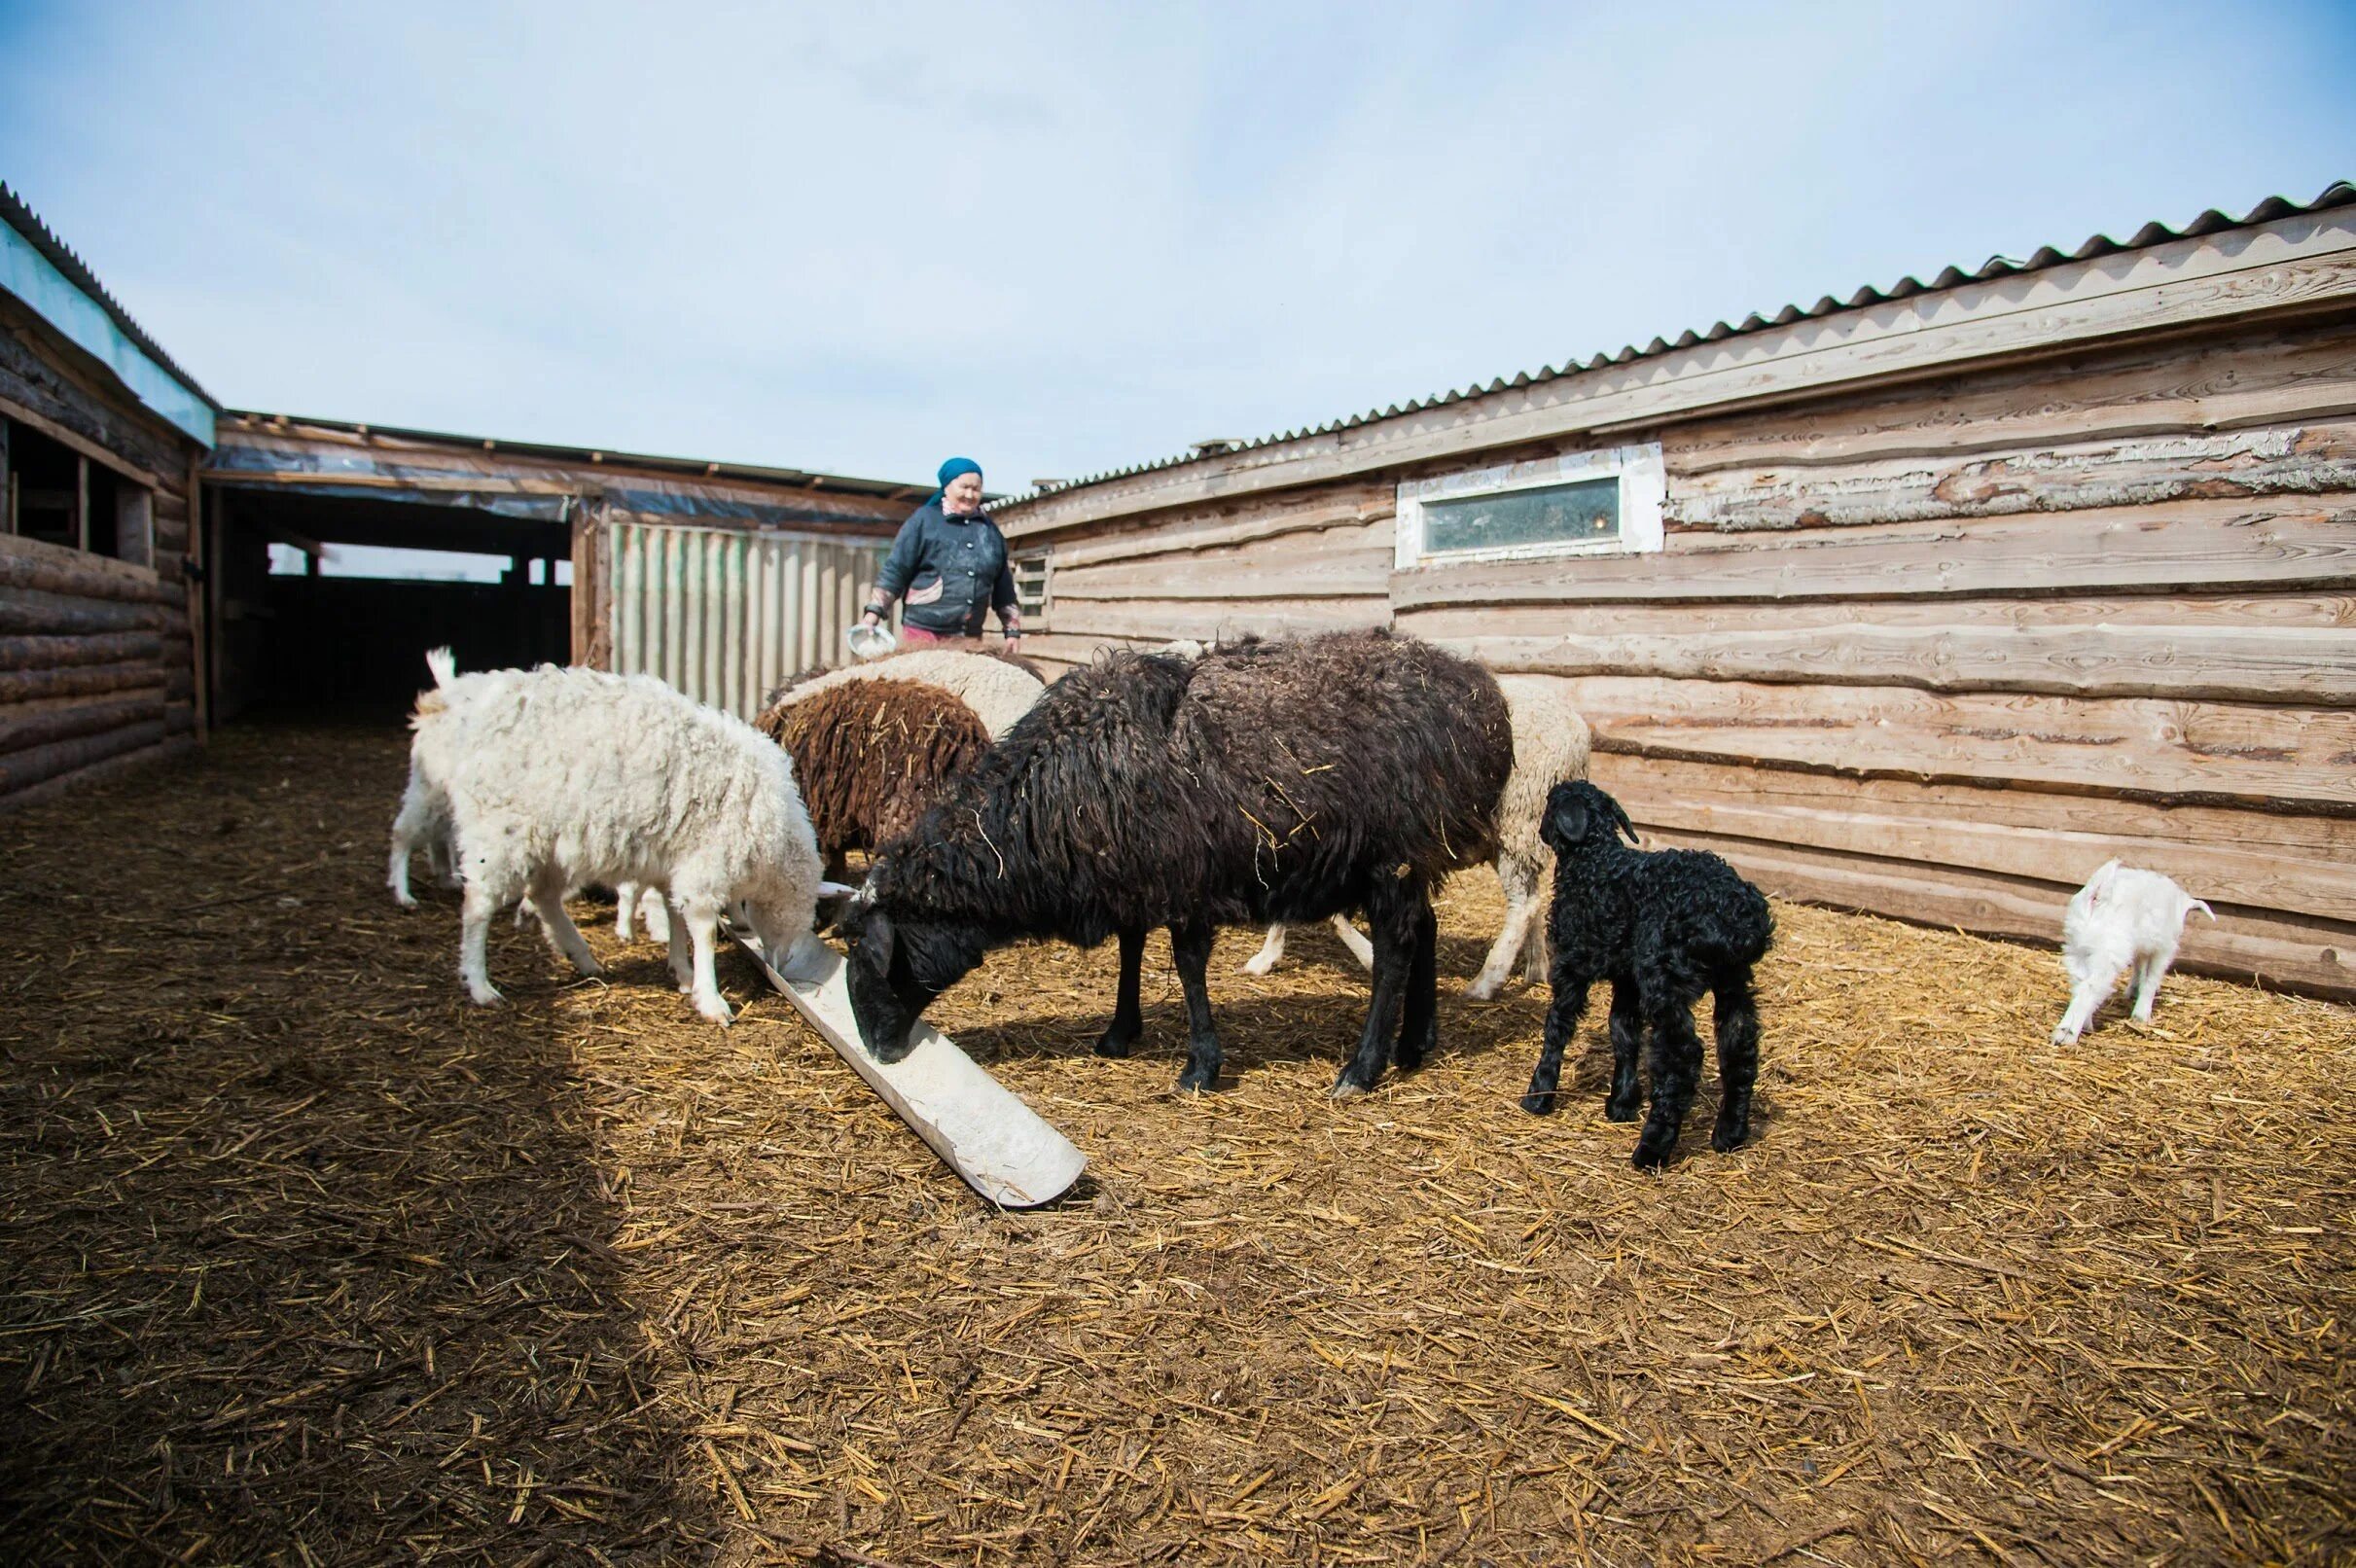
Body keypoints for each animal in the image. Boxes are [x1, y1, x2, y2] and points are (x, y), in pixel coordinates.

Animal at [410, 650, 834, 1026]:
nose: (782, 965)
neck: (772, 828)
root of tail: (473, 709)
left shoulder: (673, 859)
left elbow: (675, 916)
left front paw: (681, 971)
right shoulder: (704, 861)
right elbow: (703, 929)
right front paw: (710, 998)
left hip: (550, 845)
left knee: (544, 898)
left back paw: (582, 957)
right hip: (498, 831)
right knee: (479, 906)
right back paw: (480, 983)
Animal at [839, 630, 1517, 1092]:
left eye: (871, 961)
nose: (879, 1051)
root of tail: (1481, 694)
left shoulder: (1189, 881)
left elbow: (1188, 968)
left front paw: (1200, 1066)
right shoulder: (1135, 875)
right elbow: (1130, 948)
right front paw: (1120, 1032)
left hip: (1392, 856)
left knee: (1397, 947)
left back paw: (1364, 1067)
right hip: (1416, 856)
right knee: (1424, 929)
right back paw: (1416, 1042)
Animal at [1234, 668, 1601, 988]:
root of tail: (1578, 729)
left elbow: (1334, 917)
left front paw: (1369, 957)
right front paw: (1266, 958)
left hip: (1519, 814)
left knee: (1522, 905)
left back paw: (1486, 981)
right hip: (1517, 830)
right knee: (1534, 898)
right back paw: (1536, 968)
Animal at [1526, 776, 1771, 1158]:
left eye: (1550, 805)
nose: (1540, 831)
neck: (1594, 862)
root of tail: (1739, 920)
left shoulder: (1572, 964)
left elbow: (1558, 1026)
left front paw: (1539, 1093)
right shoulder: (1627, 976)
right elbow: (1623, 1032)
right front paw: (1622, 1104)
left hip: (1664, 977)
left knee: (1682, 1057)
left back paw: (1652, 1148)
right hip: (1730, 978)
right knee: (1739, 1046)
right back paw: (1729, 1134)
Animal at [2053, 857, 2214, 1035]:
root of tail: (2097, 895)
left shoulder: (2140, 949)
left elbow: (2139, 968)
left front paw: (2133, 991)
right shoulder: (2163, 950)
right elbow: (2150, 979)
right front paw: (2141, 1015)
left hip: (2077, 948)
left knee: (2079, 983)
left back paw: (2086, 1025)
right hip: (2109, 953)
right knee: (2090, 988)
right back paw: (2067, 1033)